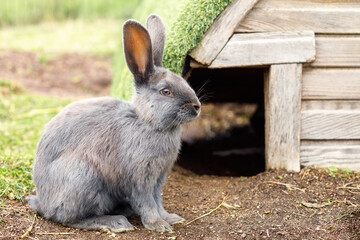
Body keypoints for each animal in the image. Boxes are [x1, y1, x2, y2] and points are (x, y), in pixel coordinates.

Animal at [28, 15, 201, 232]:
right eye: (166, 91)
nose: (197, 106)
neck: (147, 121)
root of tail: (42, 201)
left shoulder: (158, 179)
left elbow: (158, 200)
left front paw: (170, 218)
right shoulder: (140, 179)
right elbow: (147, 203)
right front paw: (158, 225)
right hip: (82, 176)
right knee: (68, 217)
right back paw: (116, 222)